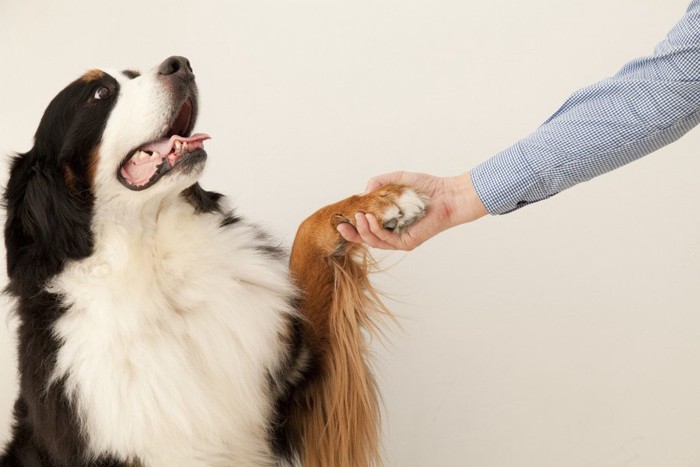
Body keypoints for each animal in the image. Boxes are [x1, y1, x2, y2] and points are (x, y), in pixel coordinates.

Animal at [0, 55, 426, 467]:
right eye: (101, 93)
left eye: (134, 74)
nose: (181, 64)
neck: (154, 259)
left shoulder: (295, 381)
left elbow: (309, 233)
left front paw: (380, 201)